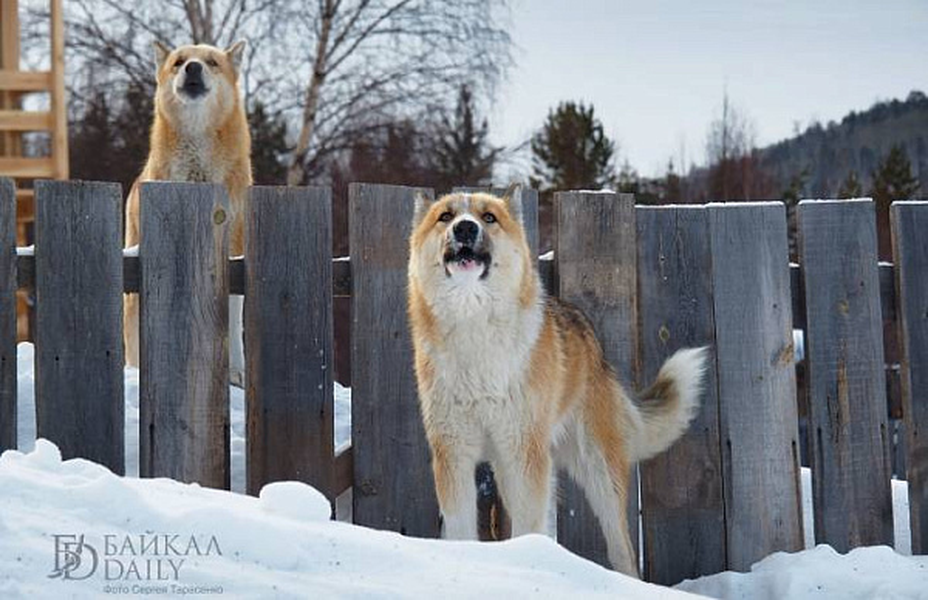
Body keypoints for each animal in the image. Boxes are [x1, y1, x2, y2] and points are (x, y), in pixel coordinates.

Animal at [125, 39, 254, 384]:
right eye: (179, 61)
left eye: (212, 62)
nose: (192, 67)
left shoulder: (233, 251)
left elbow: (233, 318)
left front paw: (235, 373)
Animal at [406, 184, 704, 576]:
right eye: (445, 216)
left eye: (488, 218)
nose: (465, 228)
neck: (474, 326)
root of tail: (594, 344)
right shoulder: (454, 452)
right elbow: (460, 529)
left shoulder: (523, 451)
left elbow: (527, 527)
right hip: (512, 467)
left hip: (596, 471)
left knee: (621, 547)